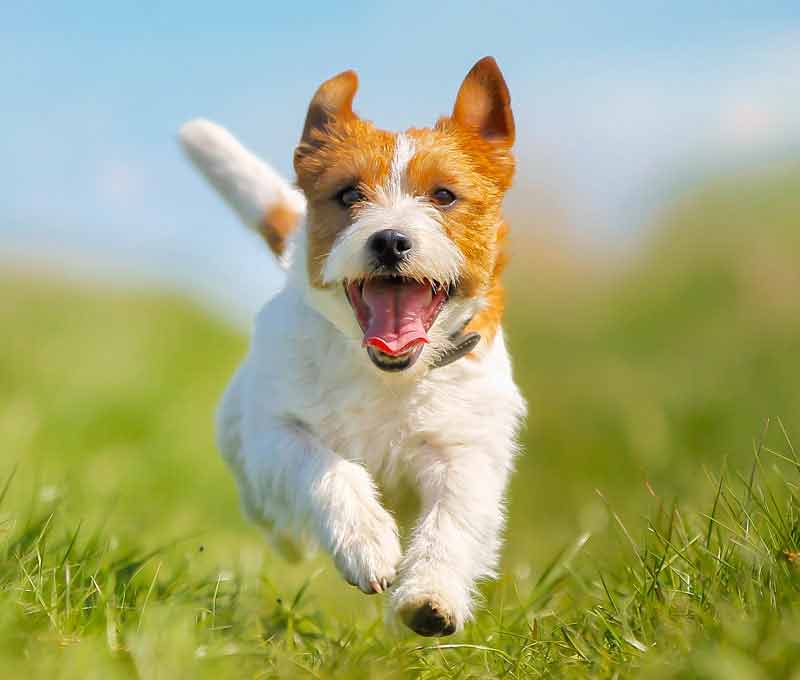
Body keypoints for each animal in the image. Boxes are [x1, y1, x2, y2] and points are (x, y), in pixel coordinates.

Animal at [183, 58, 524, 636]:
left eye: (443, 195)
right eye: (347, 195)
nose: (389, 240)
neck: (388, 375)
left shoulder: (465, 450)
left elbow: (452, 520)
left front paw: (430, 595)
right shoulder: (277, 431)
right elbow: (326, 468)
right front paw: (366, 540)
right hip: (241, 441)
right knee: (267, 507)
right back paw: (291, 537)